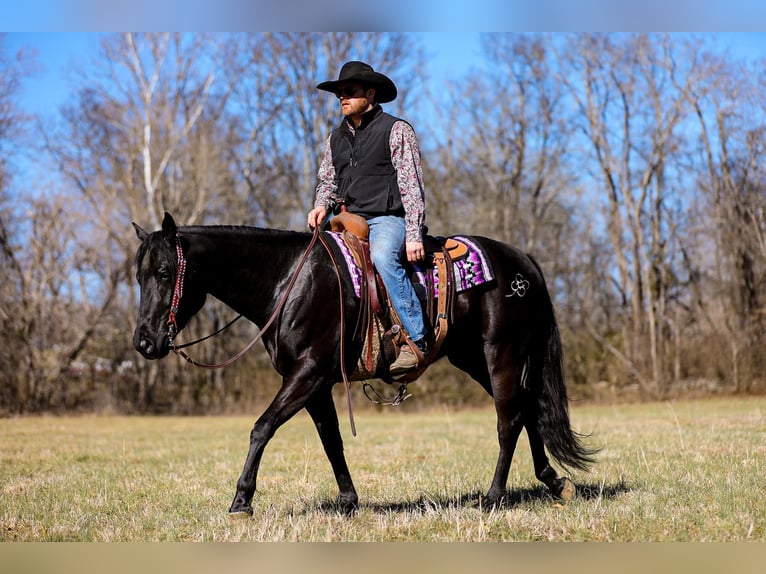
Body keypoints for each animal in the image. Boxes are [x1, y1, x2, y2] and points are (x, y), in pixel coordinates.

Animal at [134, 214, 600, 520]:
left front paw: (241, 501)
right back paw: (556, 482)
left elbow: (262, 427)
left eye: (164, 272)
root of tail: (523, 262)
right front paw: (348, 501)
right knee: (527, 410)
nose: (144, 342)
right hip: (473, 359)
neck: (288, 281)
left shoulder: (306, 373)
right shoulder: (315, 382)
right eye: (138, 276)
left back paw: (493, 496)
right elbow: (332, 440)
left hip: (501, 353)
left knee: (508, 420)